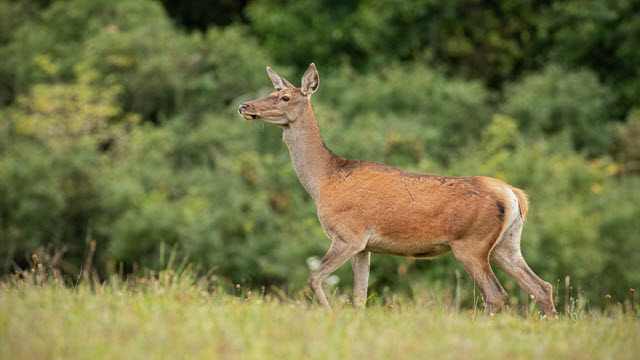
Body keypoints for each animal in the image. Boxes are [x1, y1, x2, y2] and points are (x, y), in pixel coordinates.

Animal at [238, 64, 556, 318]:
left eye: (284, 97)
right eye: (275, 90)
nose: (244, 106)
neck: (323, 181)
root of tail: (515, 195)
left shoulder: (348, 234)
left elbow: (314, 277)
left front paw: (328, 314)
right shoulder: (364, 247)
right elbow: (360, 296)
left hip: (471, 243)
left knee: (496, 294)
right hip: (506, 243)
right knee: (542, 286)